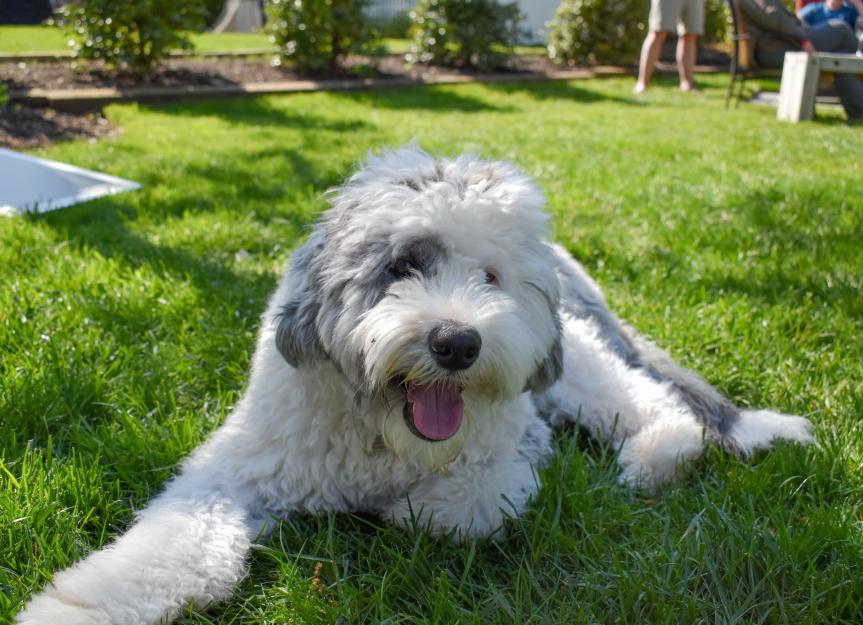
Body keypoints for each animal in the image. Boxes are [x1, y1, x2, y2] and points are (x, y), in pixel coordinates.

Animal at [18, 145, 816, 624]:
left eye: (489, 276)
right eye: (402, 265)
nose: (457, 343)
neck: (381, 433)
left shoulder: (513, 454)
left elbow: (460, 508)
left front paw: (401, 509)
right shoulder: (230, 471)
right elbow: (170, 545)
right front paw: (76, 609)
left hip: (575, 367)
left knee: (652, 404)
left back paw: (655, 458)